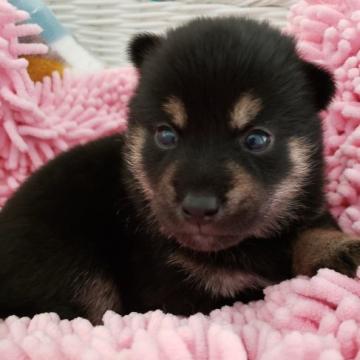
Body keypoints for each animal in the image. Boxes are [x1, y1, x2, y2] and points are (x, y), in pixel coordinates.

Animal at [0, 16, 360, 324]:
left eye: (257, 139)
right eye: (166, 135)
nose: (198, 206)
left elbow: (311, 229)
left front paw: (337, 249)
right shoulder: (184, 293)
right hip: (70, 267)